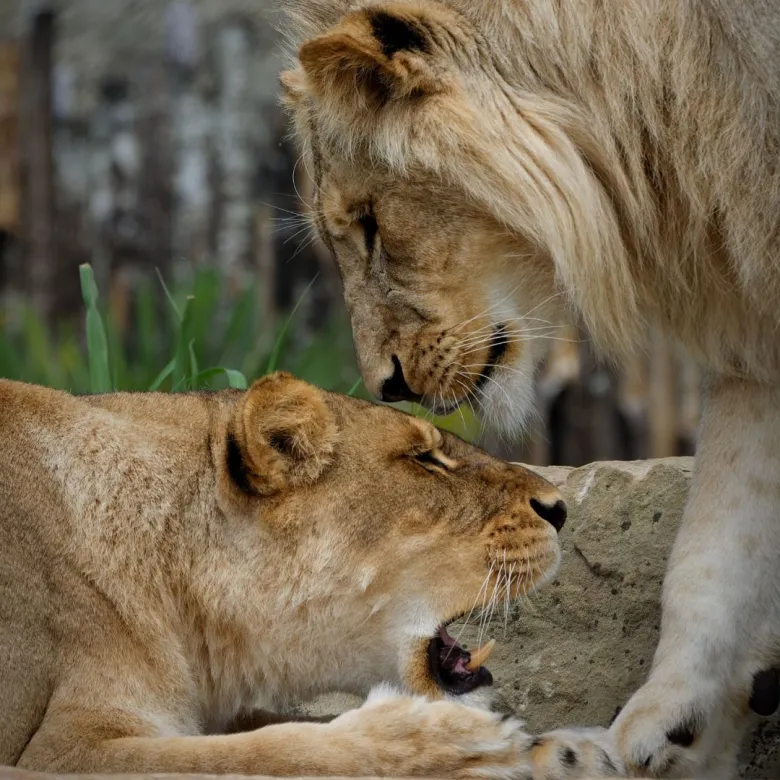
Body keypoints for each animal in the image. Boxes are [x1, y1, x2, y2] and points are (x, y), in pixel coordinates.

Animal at [0, 374, 620, 780]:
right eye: (424, 458)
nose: (560, 509)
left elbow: (272, 725)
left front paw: (567, 750)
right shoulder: (59, 748)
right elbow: (259, 752)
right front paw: (458, 746)